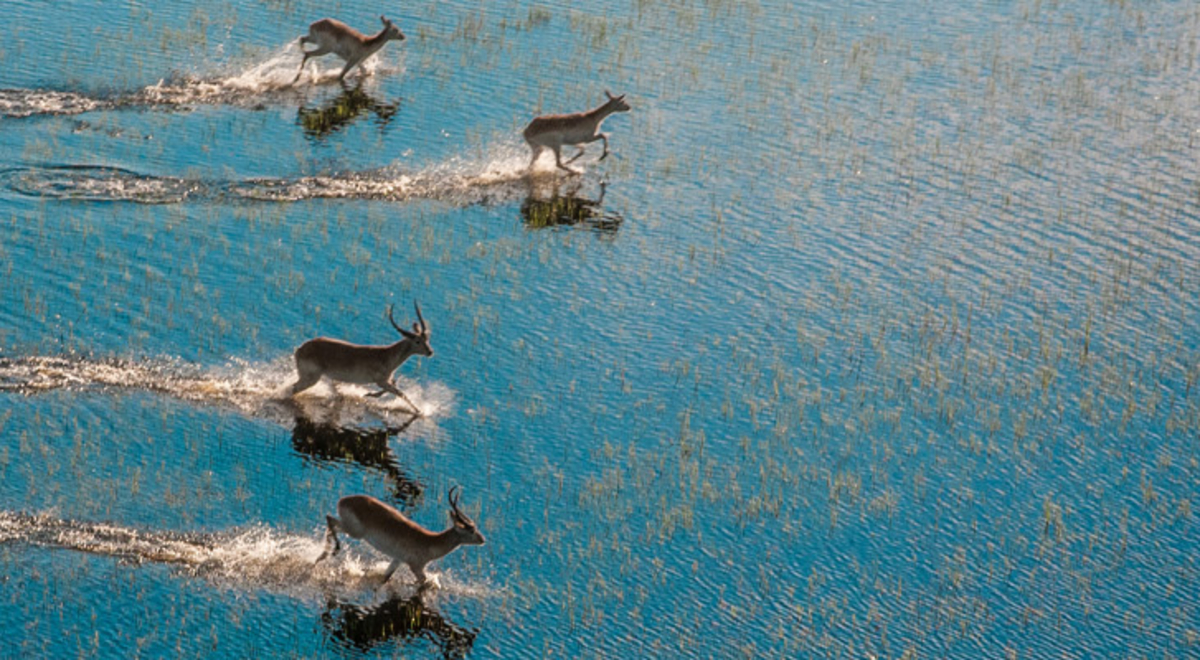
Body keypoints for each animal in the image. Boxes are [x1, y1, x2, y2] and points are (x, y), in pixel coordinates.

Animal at [290, 302, 431, 413]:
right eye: (417, 341)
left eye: (427, 338)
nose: (430, 352)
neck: (387, 356)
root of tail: (300, 349)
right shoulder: (380, 381)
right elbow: (401, 393)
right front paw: (420, 411)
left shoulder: (386, 381)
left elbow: (395, 387)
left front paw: (368, 394)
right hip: (312, 378)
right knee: (293, 388)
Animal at [316, 487, 485, 588]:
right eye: (471, 529)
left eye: (475, 526)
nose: (483, 540)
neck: (430, 542)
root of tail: (343, 500)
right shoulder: (415, 567)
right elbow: (424, 583)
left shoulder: (397, 559)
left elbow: (385, 577)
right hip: (355, 532)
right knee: (329, 519)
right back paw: (331, 551)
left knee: (329, 523)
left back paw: (321, 556)